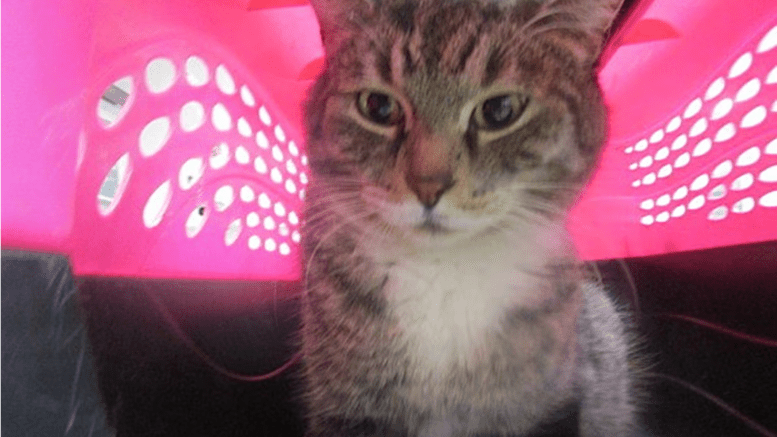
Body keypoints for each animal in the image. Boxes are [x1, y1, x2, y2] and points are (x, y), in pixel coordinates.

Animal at [300, 0, 632, 434]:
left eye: (499, 110)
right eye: (378, 106)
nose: (428, 186)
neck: (444, 272)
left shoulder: (553, 401)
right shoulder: (348, 410)